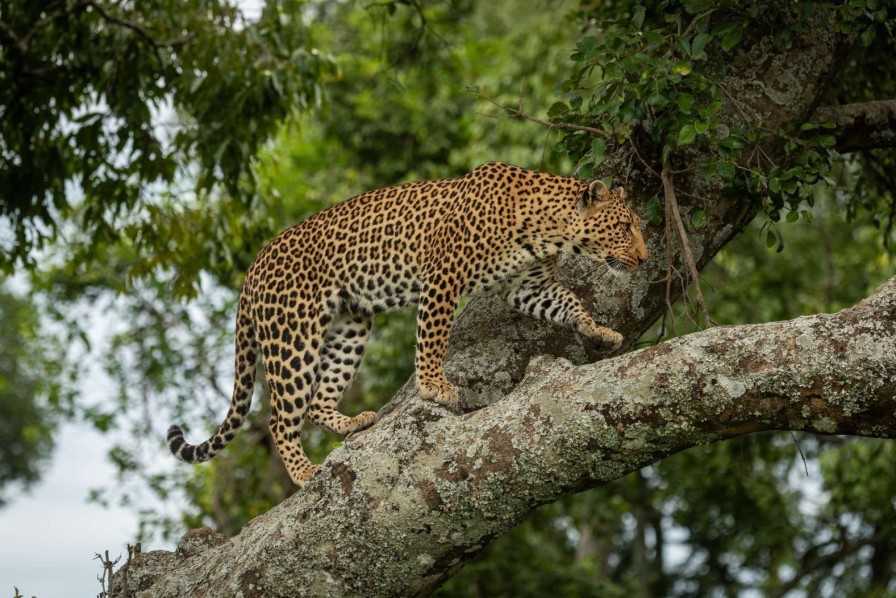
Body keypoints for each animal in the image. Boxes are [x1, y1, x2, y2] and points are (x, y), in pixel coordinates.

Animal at [166, 163, 644, 488]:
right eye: (623, 226)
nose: (644, 257)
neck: (551, 227)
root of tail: (252, 271)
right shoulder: (444, 277)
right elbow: (432, 337)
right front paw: (434, 386)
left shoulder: (527, 285)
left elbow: (569, 301)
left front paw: (598, 331)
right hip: (293, 338)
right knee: (280, 417)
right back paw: (303, 471)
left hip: (351, 325)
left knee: (317, 400)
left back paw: (351, 423)